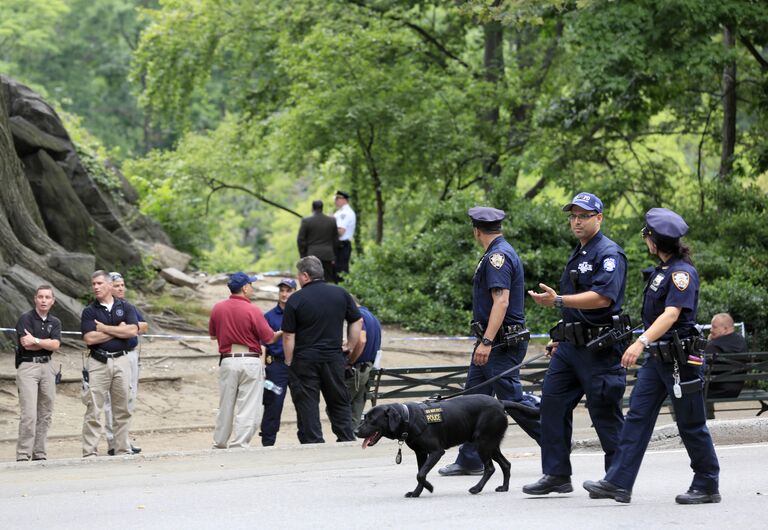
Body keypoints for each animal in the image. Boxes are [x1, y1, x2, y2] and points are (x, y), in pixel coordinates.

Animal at [356, 394, 532, 498]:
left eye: (372, 420)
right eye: (365, 418)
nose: (356, 431)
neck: (408, 418)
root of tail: (500, 402)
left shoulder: (436, 451)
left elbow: (421, 474)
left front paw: (430, 488)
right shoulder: (421, 453)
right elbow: (420, 473)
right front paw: (416, 492)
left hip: (482, 443)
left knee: (490, 468)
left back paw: (476, 488)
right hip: (491, 445)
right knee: (506, 464)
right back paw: (504, 487)